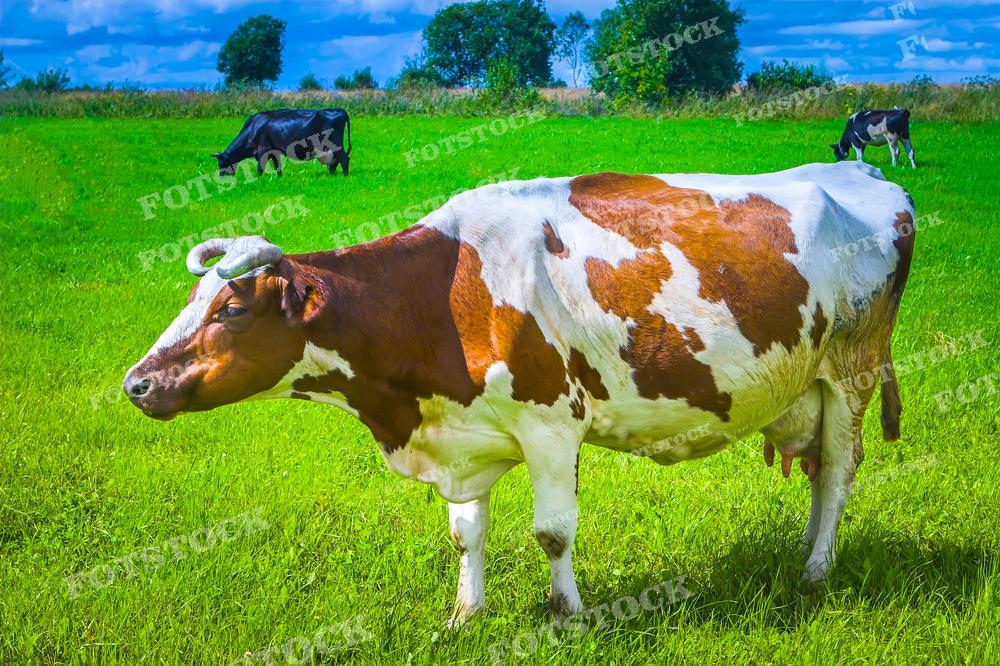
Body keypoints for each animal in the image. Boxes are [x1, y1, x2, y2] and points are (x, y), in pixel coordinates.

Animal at [124, 161, 915, 626]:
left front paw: (567, 615)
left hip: (850, 371)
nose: (136, 383)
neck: (442, 298)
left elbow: (552, 532)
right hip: (807, 387)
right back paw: (806, 553)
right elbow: (465, 533)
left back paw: (815, 574)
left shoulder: (551, 426)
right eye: (192, 300)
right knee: (818, 477)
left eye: (231, 309)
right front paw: (464, 616)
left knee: (839, 473)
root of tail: (860, 169)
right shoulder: (466, 434)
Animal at [213, 109, 351, 177]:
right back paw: (333, 175)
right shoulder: (274, 151)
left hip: (335, 143)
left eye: (221, 163)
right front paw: (279, 178)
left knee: (344, 158)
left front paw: (259, 180)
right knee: (335, 162)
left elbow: (260, 168)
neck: (252, 129)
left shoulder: (263, 150)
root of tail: (340, 110)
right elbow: (277, 166)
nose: (222, 177)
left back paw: (345, 176)